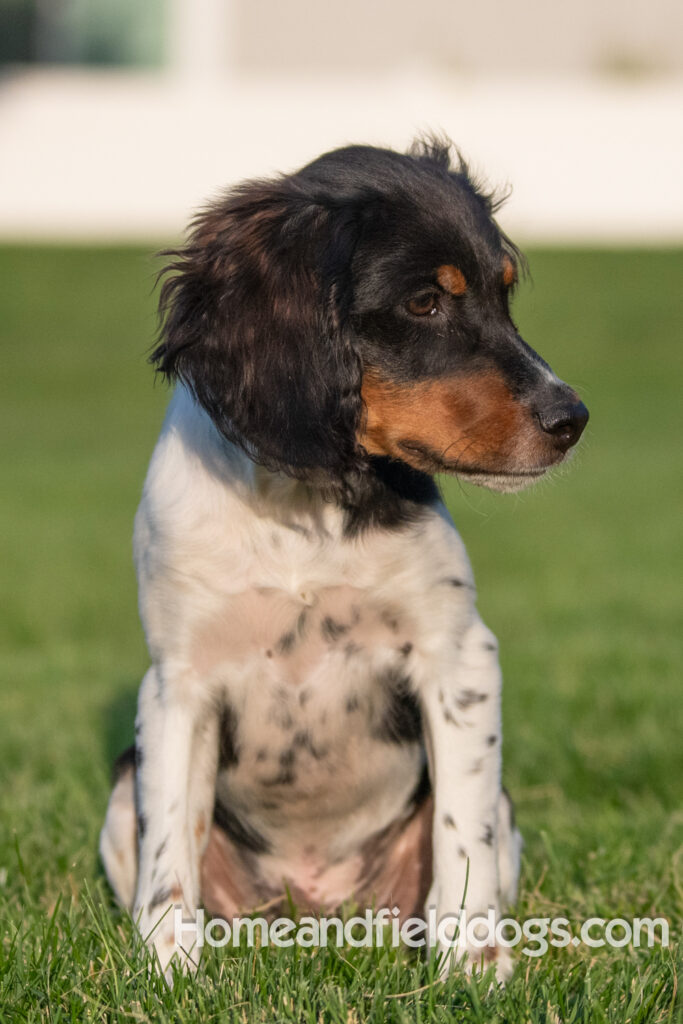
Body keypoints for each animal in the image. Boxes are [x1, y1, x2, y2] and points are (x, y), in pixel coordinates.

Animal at [100, 136, 589, 974]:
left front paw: (472, 961)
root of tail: (319, 908)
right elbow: (168, 844)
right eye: (424, 303)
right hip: (116, 799)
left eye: (503, 295)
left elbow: (462, 832)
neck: (307, 510)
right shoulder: (176, 681)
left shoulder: (458, 656)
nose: (572, 418)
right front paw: (167, 964)